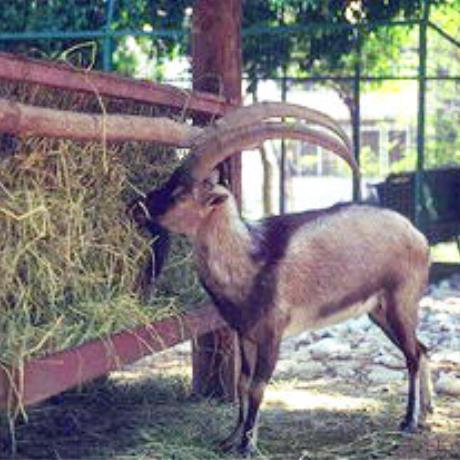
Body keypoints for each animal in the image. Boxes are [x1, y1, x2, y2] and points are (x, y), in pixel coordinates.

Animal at [128, 102, 432, 454]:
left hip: (401, 302)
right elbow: (242, 383)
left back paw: (409, 421)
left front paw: (247, 446)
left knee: (413, 355)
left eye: (179, 194)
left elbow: (258, 387)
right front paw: (230, 438)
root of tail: (418, 236)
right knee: (422, 349)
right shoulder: (244, 333)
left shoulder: (272, 334)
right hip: (379, 311)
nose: (136, 207)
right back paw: (427, 413)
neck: (249, 261)